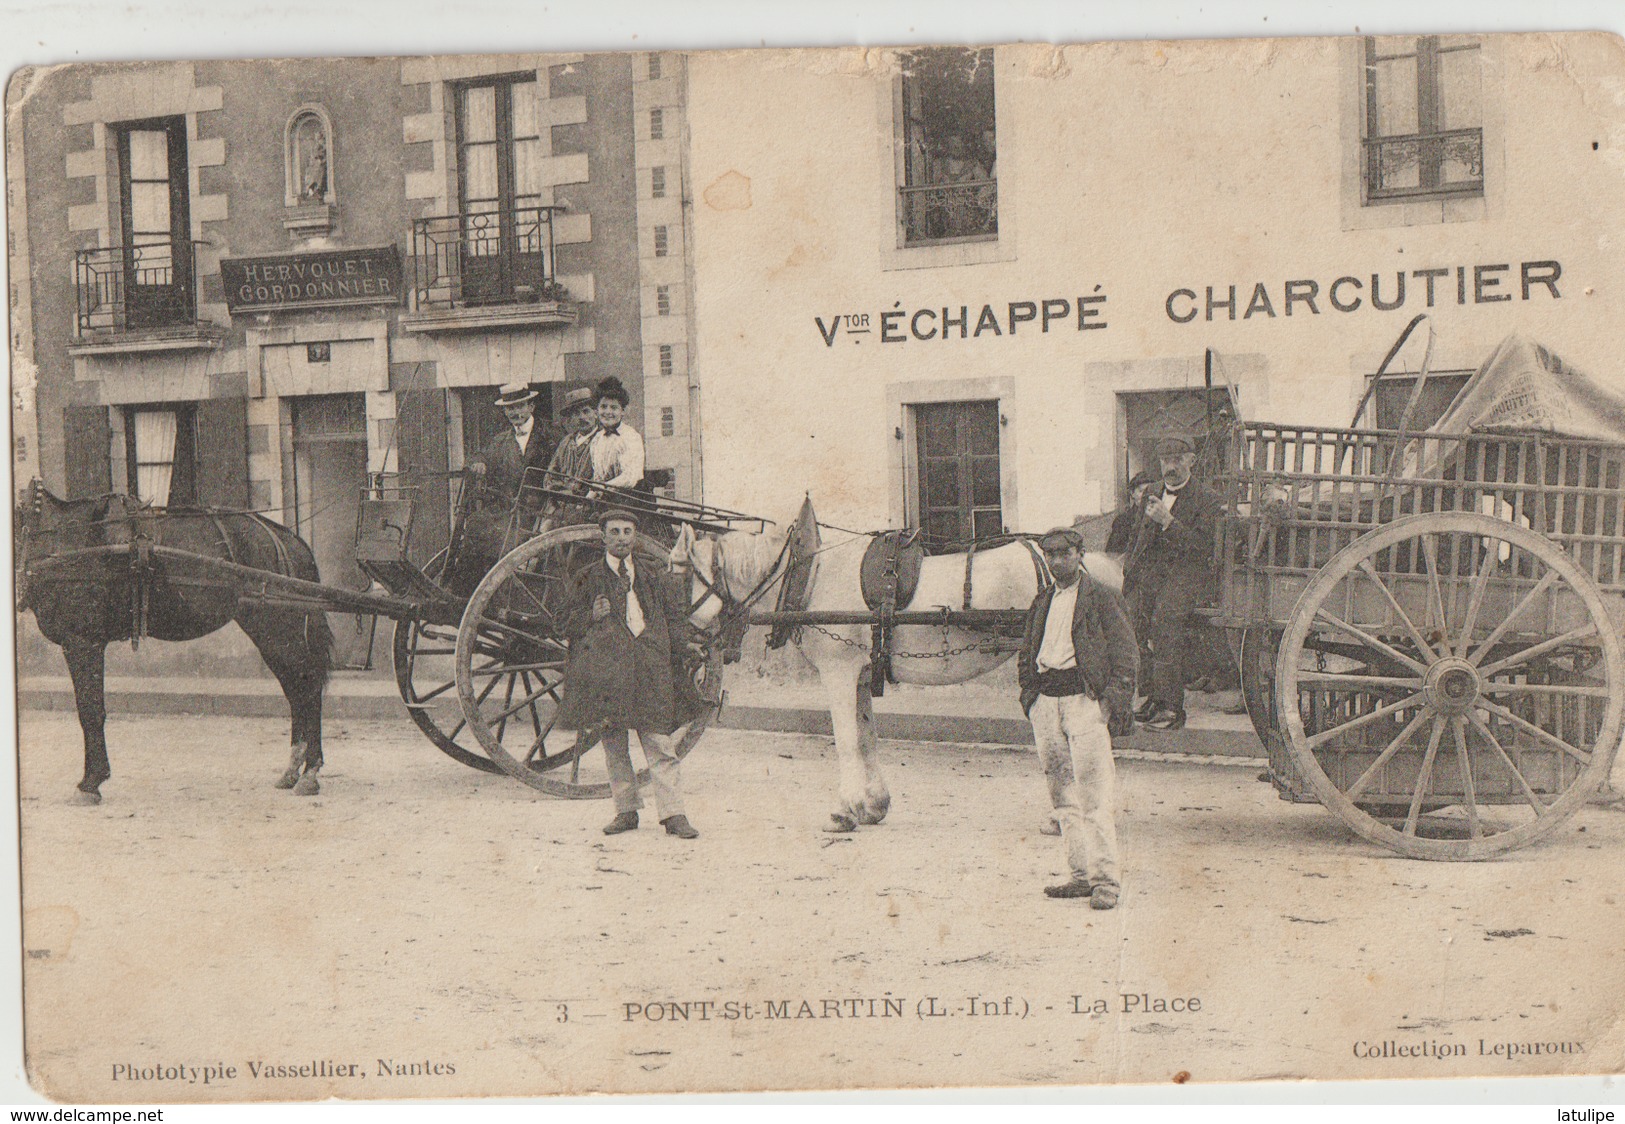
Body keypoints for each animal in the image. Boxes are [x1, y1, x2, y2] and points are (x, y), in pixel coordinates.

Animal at [19, 477, 333, 802]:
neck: (60, 537)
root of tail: (288, 538)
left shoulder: (82, 642)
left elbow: (90, 711)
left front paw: (90, 782)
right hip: (271, 635)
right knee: (295, 690)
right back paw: (293, 770)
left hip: (278, 630)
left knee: (308, 688)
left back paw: (309, 773)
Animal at [666, 503, 1124, 828]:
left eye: (678, 573)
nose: (681, 639)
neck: (810, 573)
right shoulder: (861, 673)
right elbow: (866, 738)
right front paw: (873, 806)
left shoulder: (838, 670)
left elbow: (845, 741)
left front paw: (844, 810)